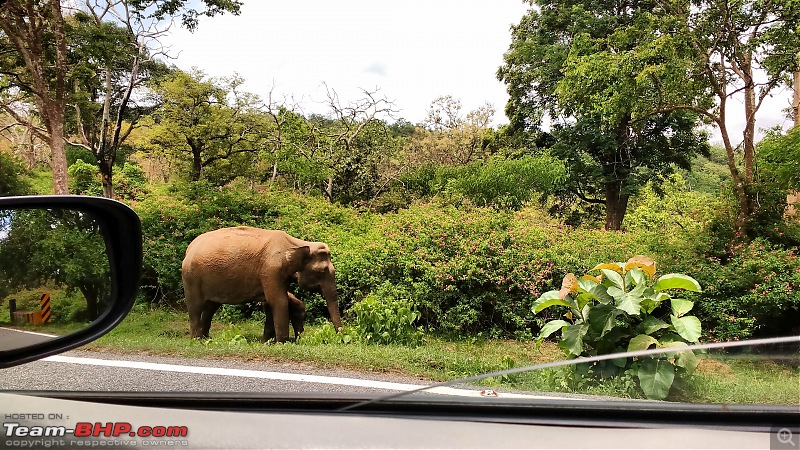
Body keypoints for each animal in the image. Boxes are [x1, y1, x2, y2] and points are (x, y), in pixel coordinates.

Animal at [181, 227, 340, 342]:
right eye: (323, 271)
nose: (341, 338)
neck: (296, 243)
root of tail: (189, 248)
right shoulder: (271, 269)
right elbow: (279, 301)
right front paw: (282, 342)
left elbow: (270, 302)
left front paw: (266, 342)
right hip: (191, 277)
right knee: (195, 306)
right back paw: (196, 340)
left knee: (211, 307)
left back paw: (206, 338)